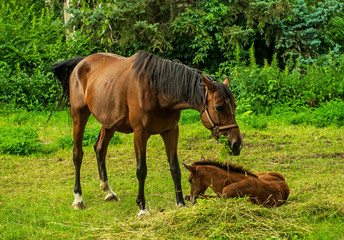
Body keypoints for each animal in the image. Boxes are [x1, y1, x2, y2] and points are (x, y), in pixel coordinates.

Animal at [52, 50, 243, 216]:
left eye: (234, 105)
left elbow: (175, 168)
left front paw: (180, 203)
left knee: (100, 149)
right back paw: (78, 198)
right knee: (78, 154)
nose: (237, 144)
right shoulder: (140, 134)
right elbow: (141, 170)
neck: (157, 89)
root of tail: (81, 63)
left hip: (109, 123)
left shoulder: (171, 132)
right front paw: (142, 208)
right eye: (219, 107)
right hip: (79, 116)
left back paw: (108, 192)